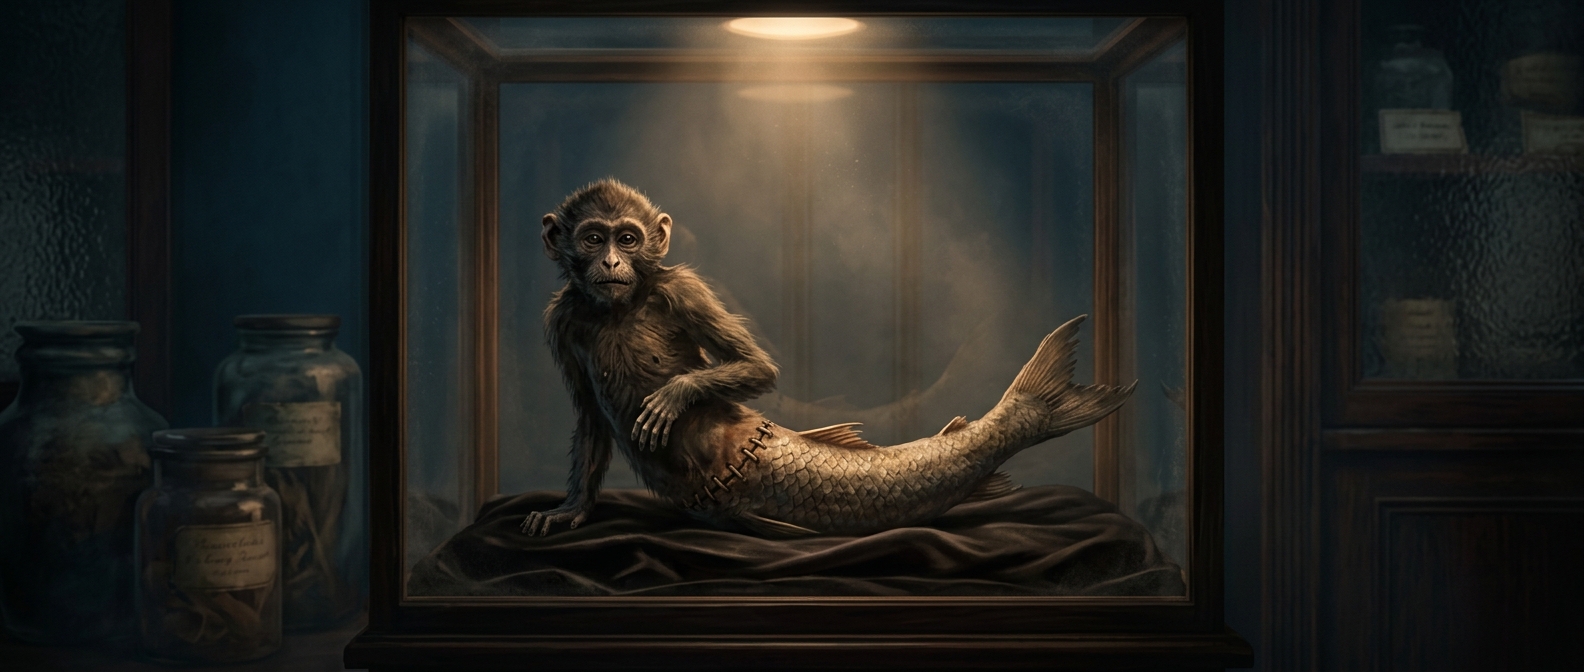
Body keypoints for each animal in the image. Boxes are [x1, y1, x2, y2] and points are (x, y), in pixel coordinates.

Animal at [520, 179, 779, 535]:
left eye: (627, 239)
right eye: (593, 239)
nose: (611, 262)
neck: (618, 309)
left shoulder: (685, 290)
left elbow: (757, 365)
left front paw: (674, 394)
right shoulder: (561, 321)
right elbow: (591, 415)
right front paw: (572, 507)